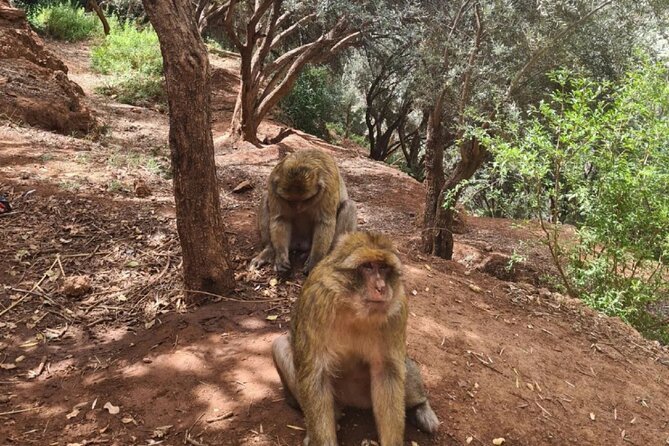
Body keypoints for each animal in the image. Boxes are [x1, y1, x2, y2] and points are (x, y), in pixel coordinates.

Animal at [270, 232, 438, 444]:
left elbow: (388, 372)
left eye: (383, 267)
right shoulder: (316, 302)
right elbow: (314, 375)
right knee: (280, 345)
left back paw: (421, 407)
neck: (352, 306)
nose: (381, 287)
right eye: (368, 266)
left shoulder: (399, 307)